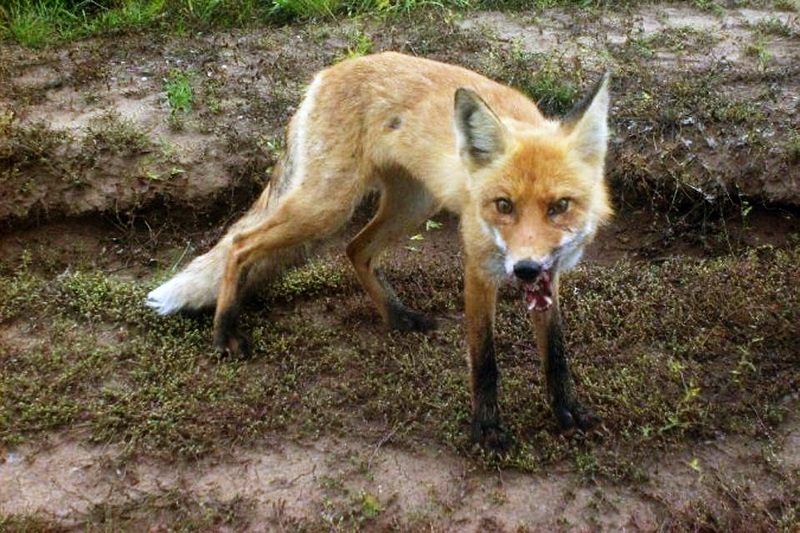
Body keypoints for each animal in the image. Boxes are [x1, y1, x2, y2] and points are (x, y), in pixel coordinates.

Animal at [147, 52, 612, 448]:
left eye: (559, 206)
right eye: (503, 206)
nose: (526, 269)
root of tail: (327, 72)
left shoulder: (551, 275)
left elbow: (555, 354)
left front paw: (567, 413)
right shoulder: (479, 266)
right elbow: (484, 361)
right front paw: (487, 430)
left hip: (412, 206)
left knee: (356, 250)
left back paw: (397, 316)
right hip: (326, 207)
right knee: (241, 244)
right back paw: (225, 331)